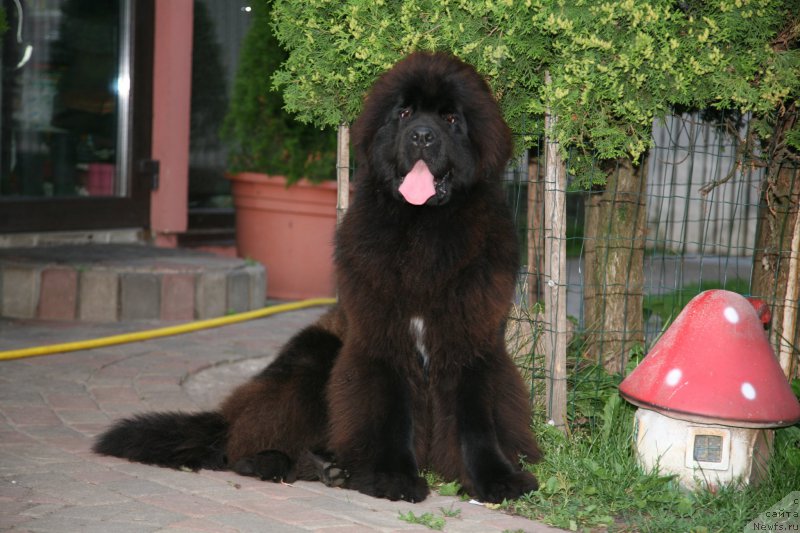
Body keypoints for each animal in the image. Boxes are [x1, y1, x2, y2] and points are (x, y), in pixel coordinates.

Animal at [95, 52, 544, 504]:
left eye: (451, 119)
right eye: (404, 113)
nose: (421, 136)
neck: (424, 229)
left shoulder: (469, 339)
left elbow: (476, 420)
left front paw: (497, 478)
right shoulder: (383, 340)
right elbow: (391, 412)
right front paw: (393, 478)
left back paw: (330, 468)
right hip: (312, 357)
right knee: (245, 440)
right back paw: (278, 462)